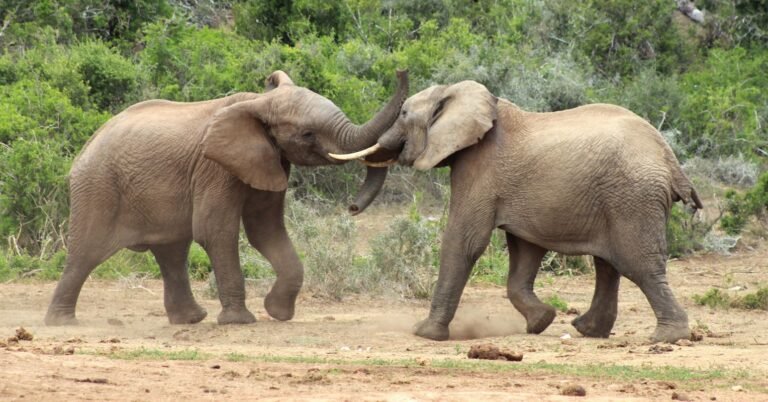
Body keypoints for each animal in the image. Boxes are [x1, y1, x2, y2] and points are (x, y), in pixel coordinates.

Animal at [44, 70, 408, 326]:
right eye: (307, 134)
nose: (352, 207)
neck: (258, 103)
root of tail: (86, 147)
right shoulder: (214, 167)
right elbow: (215, 230)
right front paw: (240, 321)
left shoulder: (269, 160)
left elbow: (266, 231)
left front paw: (278, 313)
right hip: (98, 187)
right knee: (86, 252)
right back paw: (61, 322)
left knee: (171, 252)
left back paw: (191, 320)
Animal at [332, 80, 702, 343]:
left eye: (404, 115)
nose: (351, 208)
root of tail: (670, 160)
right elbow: (525, 251)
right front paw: (541, 322)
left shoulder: (479, 169)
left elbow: (464, 241)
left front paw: (425, 333)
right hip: (620, 198)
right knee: (609, 265)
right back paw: (588, 330)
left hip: (633, 197)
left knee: (638, 264)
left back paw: (667, 336)